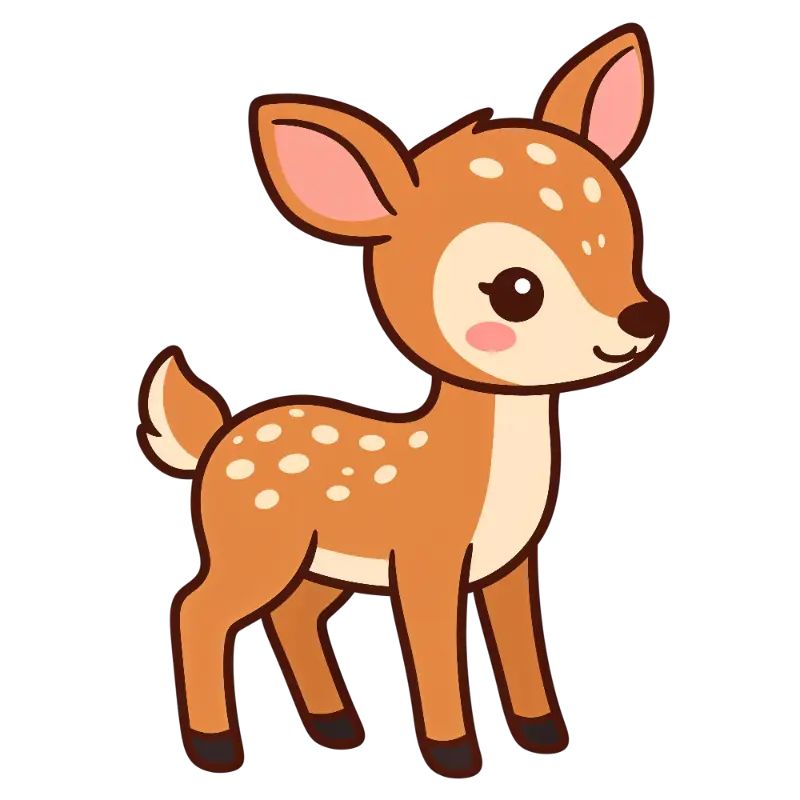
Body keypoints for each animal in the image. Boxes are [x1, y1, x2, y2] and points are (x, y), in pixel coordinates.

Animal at [137, 24, 669, 779]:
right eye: (516, 289)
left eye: (623, 243)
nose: (639, 321)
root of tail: (214, 441)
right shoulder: (424, 560)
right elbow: (434, 655)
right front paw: (454, 754)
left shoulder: (511, 568)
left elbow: (523, 651)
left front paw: (543, 735)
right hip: (255, 548)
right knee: (197, 611)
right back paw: (217, 746)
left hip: (316, 564)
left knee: (293, 615)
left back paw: (336, 726)